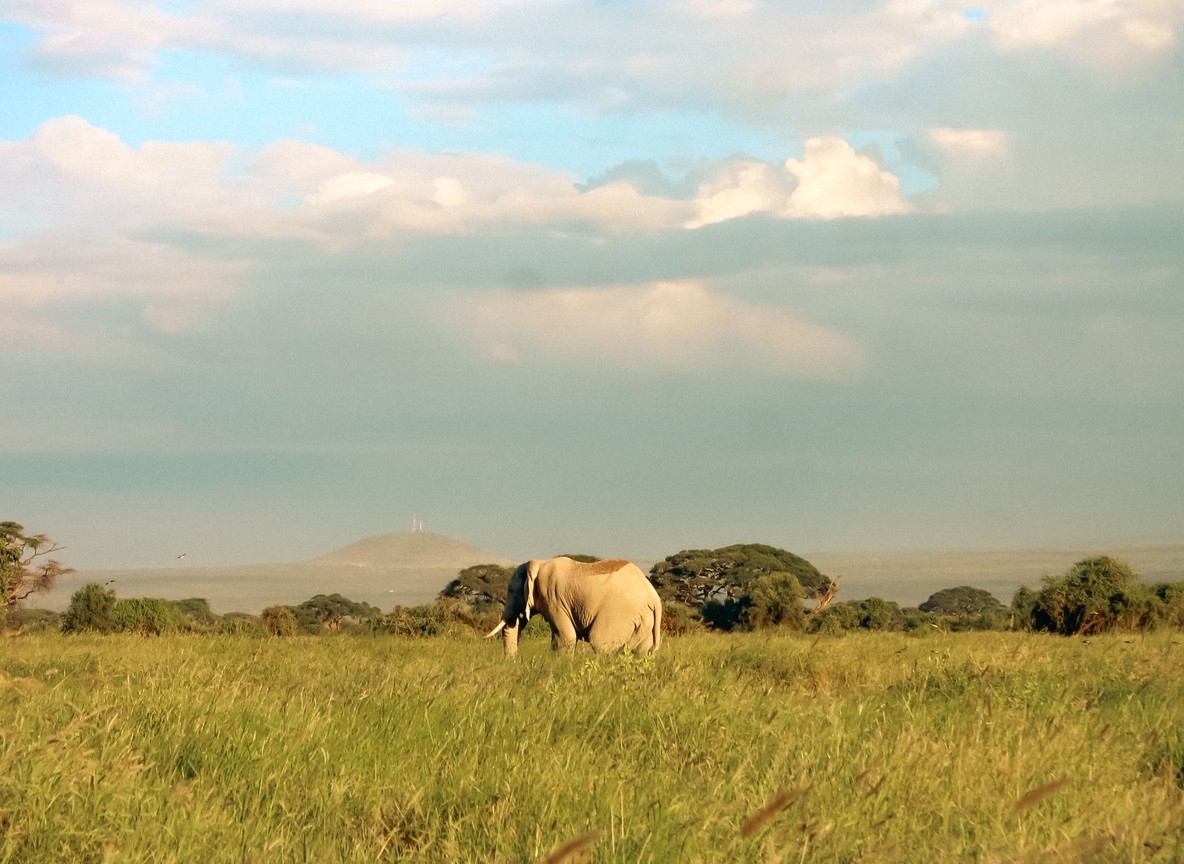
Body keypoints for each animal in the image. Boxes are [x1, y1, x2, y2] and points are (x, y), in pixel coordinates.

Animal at [485, 557, 663, 656]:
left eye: (511, 591)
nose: (512, 662)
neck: (539, 563)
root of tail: (654, 598)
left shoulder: (554, 598)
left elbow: (566, 638)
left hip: (619, 612)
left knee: (600, 643)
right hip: (645, 620)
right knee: (641, 652)